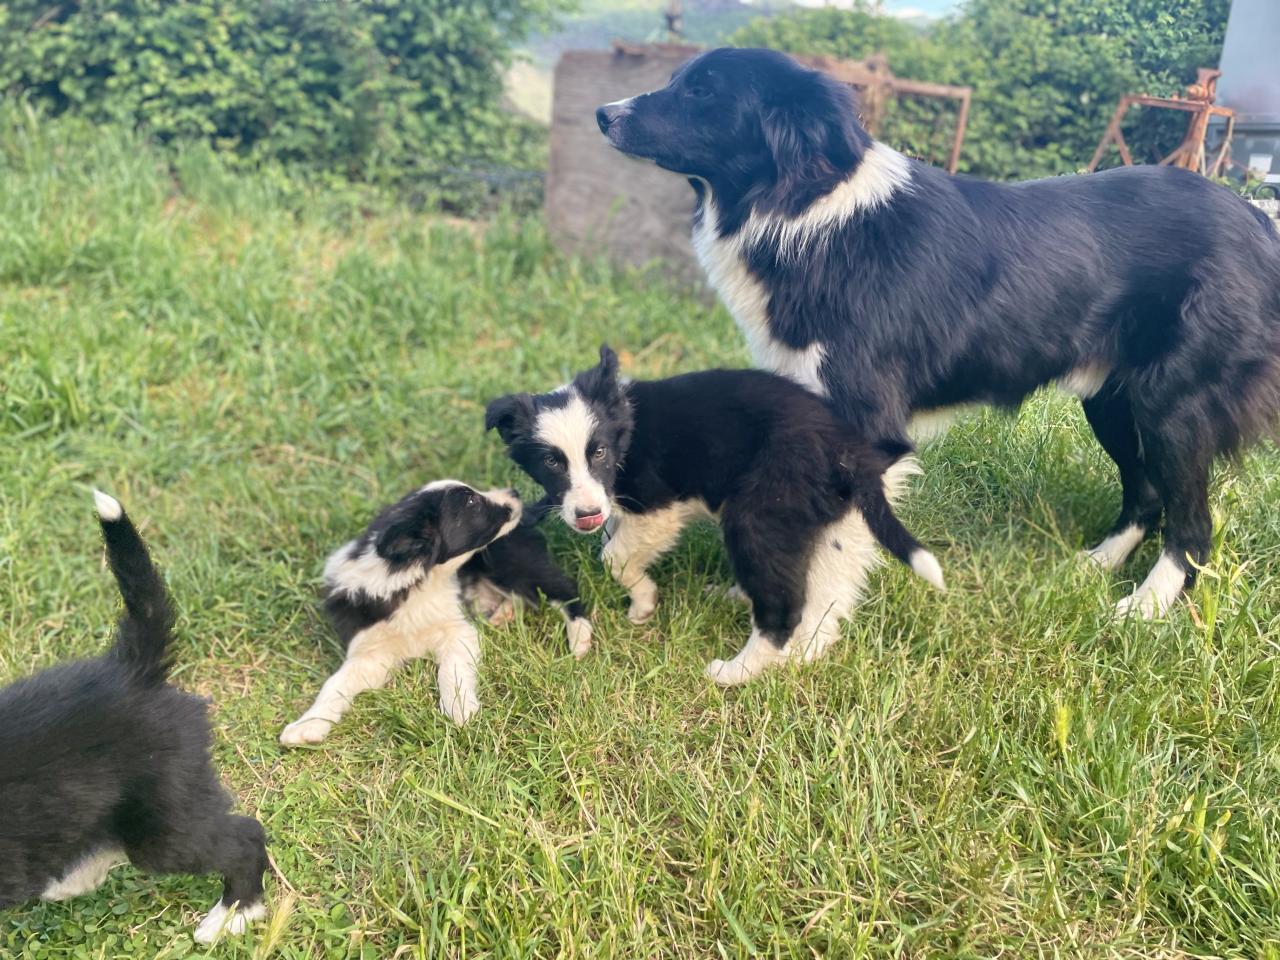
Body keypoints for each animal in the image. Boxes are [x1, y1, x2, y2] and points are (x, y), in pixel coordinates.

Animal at [280, 481, 588, 742]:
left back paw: (579, 642)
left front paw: (460, 710)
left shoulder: (457, 630)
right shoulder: (370, 651)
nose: (514, 491)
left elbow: (451, 671)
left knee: (565, 590)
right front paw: (307, 725)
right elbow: (334, 684)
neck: (413, 582)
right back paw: (504, 615)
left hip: (512, 563)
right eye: (472, 501)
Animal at [483, 350, 947, 686]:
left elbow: (615, 556)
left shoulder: (656, 508)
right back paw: (786, 642)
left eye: (598, 453)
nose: (587, 515)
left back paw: (736, 672)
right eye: (551, 463)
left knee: (783, 607)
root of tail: (849, 450)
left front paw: (643, 600)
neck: (624, 431)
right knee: (824, 595)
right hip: (833, 521)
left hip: (760, 513)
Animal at [596, 50, 1280, 624]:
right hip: (1113, 400)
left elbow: (838, 538)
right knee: (1146, 492)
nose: (604, 113)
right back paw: (1094, 567)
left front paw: (806, 638)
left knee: (1192, 523)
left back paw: (1143, 609)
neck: (801, 206)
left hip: (1173, 406)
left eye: (703, 91)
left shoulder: (869, 424)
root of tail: (1255, 217)